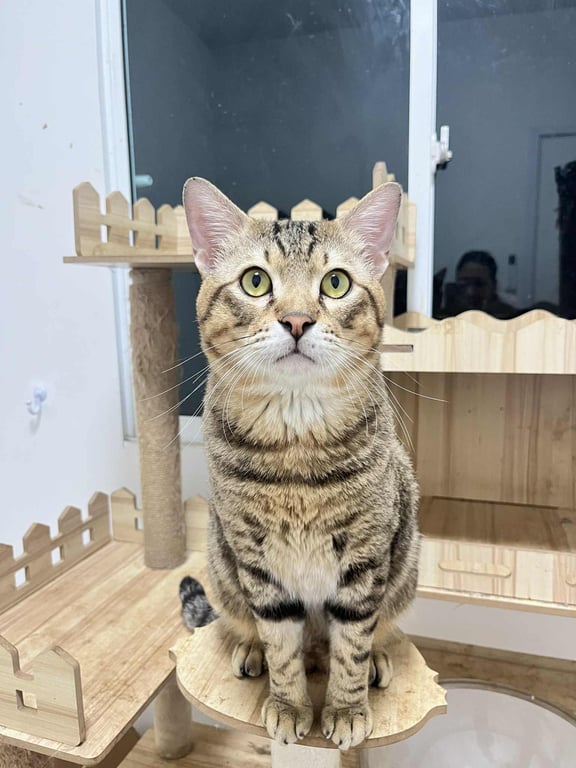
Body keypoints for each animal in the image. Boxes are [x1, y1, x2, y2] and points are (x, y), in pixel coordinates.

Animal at [180, 177, 420, 751]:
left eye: (336, 283)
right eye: (255, 281)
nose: (296, 320)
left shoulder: (365, 558)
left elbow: (351, 642)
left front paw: (347, 708)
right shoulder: (259, 564)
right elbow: (280, 644)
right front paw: (289, 705)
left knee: (373, 632)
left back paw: (375, 660)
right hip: (224, 565)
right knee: (251, 627)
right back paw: (251, 652)